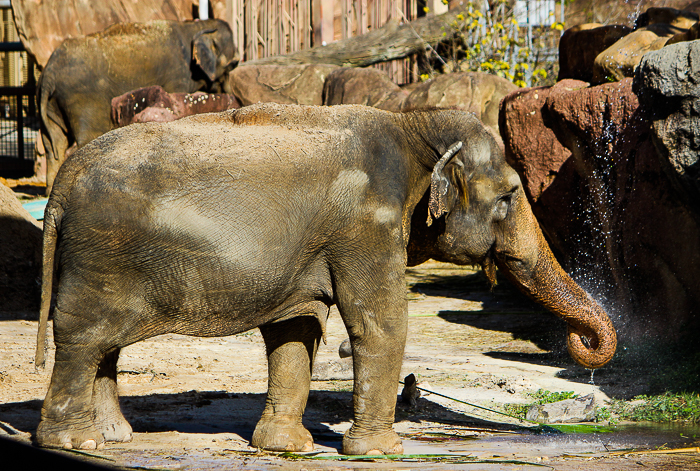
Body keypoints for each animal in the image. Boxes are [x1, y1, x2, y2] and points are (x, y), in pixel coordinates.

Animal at [35, 104, 616, 458]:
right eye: (510, 195)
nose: (580, 342)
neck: (412, 125)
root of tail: (64, 176)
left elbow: (297, 327)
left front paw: (286, 447)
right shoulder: (366, 225)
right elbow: (379, 322)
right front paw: (380, 453)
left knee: (104, 345)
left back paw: (113, 436)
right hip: (102, 255)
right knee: (85, 338)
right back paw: (75, 443)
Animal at [38, 18, 238, 194]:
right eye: (232, 65)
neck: (196, 25)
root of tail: (49, 73)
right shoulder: (178, 75)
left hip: (47, 101)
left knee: (53, 143)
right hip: (81, 98)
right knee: (85, 136)